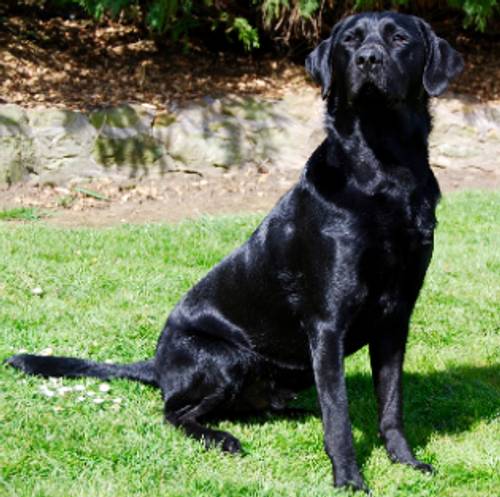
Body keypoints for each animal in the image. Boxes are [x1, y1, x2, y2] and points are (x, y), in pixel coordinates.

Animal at [5, 10, 462, 492]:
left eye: (399, 39)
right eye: (350, 41)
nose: (368, 59)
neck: (383, 168)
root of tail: (157, 364)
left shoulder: (395, 319)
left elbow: (390, 404)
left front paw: (406, 462)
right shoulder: (327, 322)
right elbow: (338, 416)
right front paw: (349, 480)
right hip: (226, 356)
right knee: (174, 413)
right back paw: (221, 437)